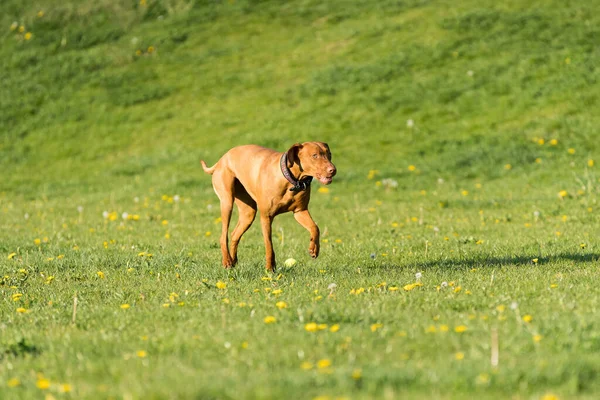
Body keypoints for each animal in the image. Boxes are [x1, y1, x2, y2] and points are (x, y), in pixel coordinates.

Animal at [199, 141, 336, 272]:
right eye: (315, 155)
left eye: (329, 154)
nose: (333, 170)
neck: (290, 180)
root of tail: (222, 159)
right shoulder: (266, 217)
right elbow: (269, 244)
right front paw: (270, 268)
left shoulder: (300, 211)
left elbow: (315, 228)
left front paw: (314, 248)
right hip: (227, 202)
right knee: (223, 235)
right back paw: (227, 261)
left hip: (248, 213)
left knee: (234, 235)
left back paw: (233, 262)